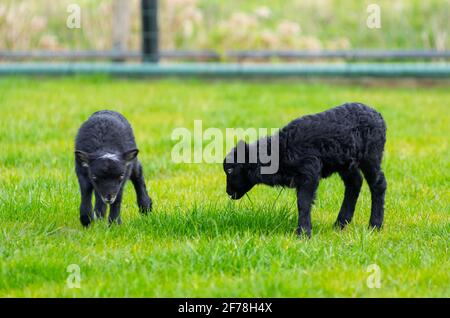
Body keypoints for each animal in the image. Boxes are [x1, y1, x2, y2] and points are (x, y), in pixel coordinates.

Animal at [224, 103, 386, 237]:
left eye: (230, 170)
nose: (228, 192)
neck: (280, 150)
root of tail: (378, 115)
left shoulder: (309, 172)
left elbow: (303, 203)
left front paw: (303, 233)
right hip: (345, 161)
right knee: (355, 183)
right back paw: (340, 224)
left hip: (371, 155)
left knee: (378, 184)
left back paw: (375, 225)